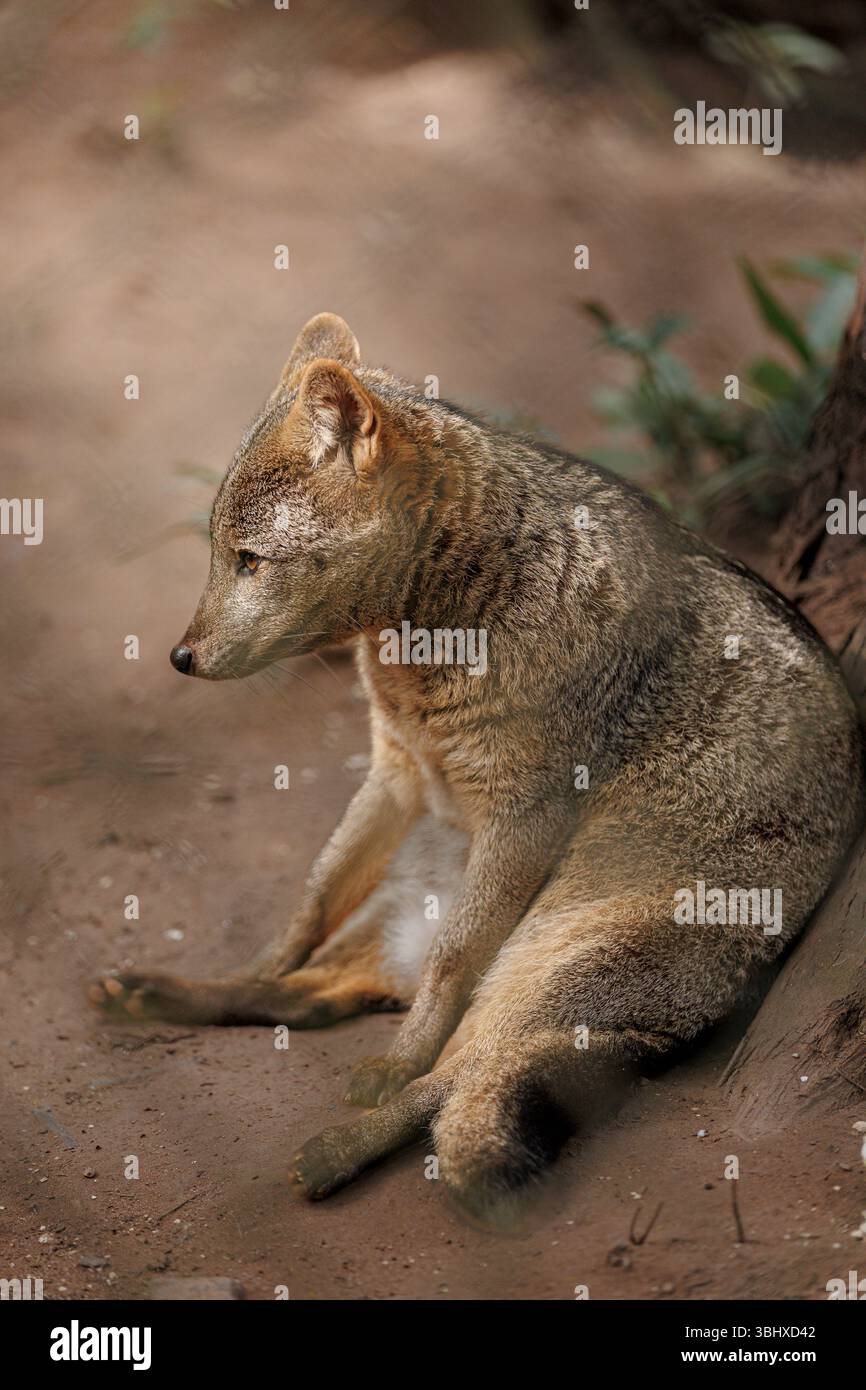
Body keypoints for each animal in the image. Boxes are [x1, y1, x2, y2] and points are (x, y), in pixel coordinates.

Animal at [91, 312, 865, 1221]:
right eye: (216, 553)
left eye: (250, 560)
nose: (180, 657)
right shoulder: (395, 773)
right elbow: (302, 914)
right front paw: (242, 969)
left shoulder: (523, 817)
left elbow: (446, 971)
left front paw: (394, 1062)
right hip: (431, 910)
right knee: (315, 994)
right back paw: (168, 992)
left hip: (542, 957)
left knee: (455, 1069)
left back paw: (336, 1149)